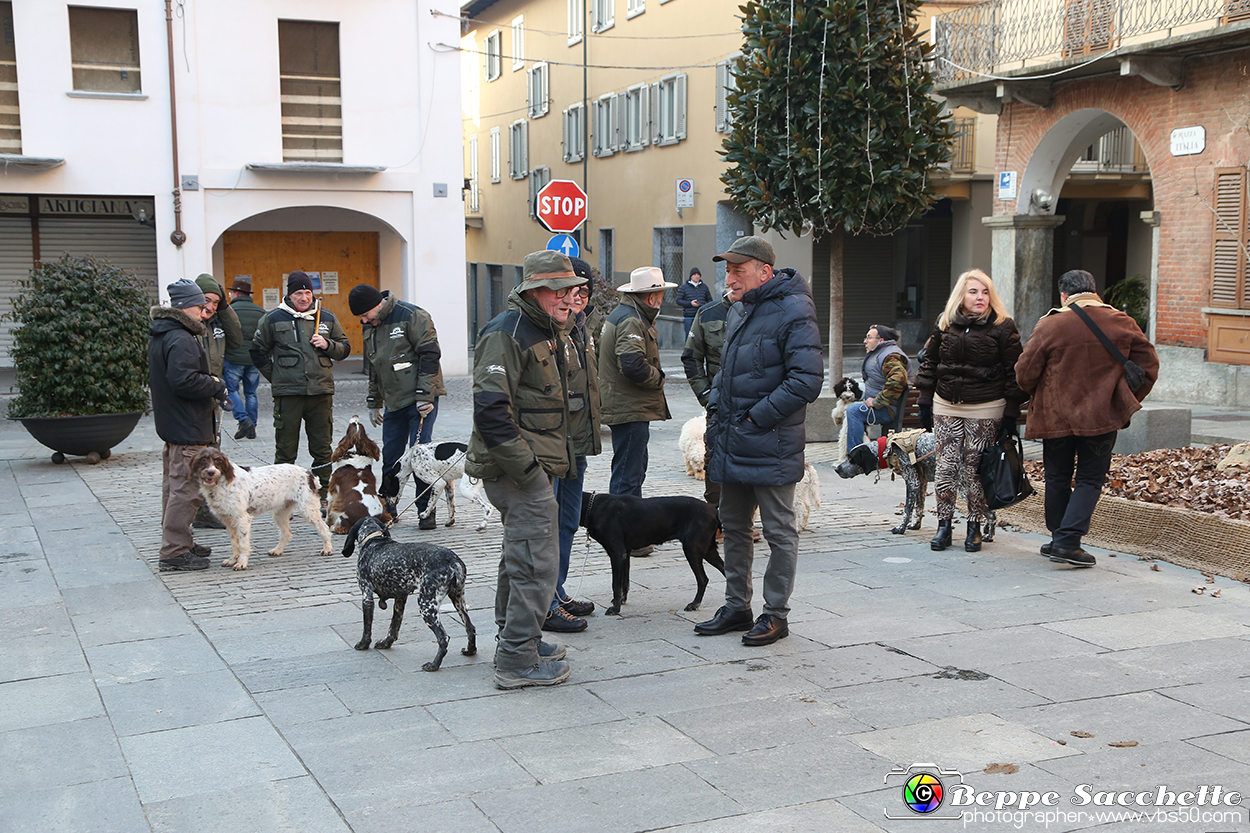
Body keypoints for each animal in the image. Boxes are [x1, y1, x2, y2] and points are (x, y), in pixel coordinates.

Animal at [188, 447, 335, 570]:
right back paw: (277, 550)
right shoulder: (228, 520)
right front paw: (232, 560)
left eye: (217, 460)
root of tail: (308, 473)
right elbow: (234, 543)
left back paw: (327, 549)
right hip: (281, 513)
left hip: (308, 509)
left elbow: (243, 544)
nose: (211, 472)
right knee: (287, 533)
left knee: (324, 528)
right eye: (203, 460)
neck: (221, 481)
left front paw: (241, 563)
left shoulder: (242, 518)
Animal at [342, 512, 477, 670]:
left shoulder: (366, 595)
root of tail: (453, 561)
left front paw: (363, 644)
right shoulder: (400, 598)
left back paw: (434, 665)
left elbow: (367, 626)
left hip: (426, 605)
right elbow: (394, 626)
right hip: (457, 598)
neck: (374, 540)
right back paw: (470, 650)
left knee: (443, 637)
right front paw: (386, 643)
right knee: (470, 627)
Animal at [577, 490, 725, 612]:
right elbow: (625, 581)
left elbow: (615, 584)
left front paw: (615, 608)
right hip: (708, 550)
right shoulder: (625, 553)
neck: (593, 507)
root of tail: (714, 511)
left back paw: (695, 604)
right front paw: (622, 600)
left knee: (703, 579)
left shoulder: (617, 553)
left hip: (692, 548)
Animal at [835, 427, 1000, 537]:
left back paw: (988, 535)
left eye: (851, 459)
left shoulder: (912, 482)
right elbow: (919, 508)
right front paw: (915, 525)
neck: (887, 449)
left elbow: (908, 509)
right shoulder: (921, 483)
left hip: (964, 488)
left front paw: (901, 528)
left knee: (991, 513)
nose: (837, 469)